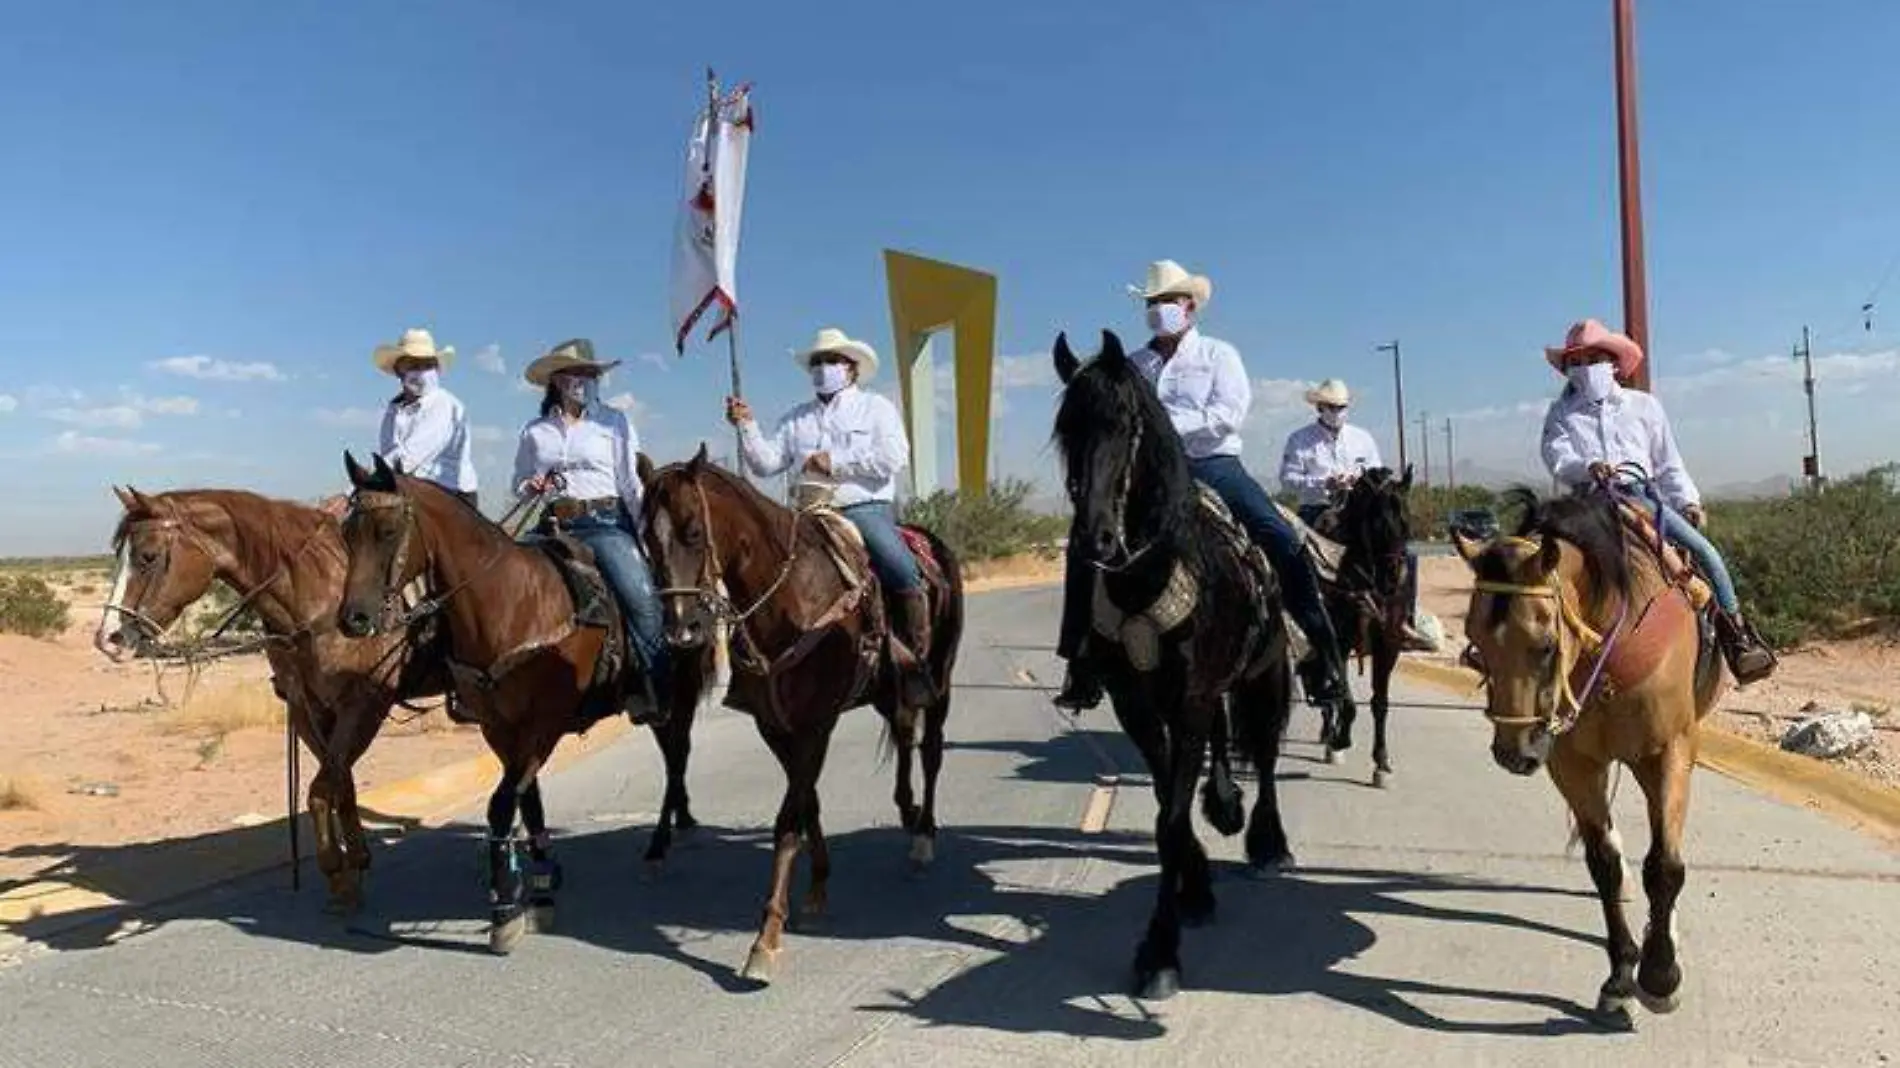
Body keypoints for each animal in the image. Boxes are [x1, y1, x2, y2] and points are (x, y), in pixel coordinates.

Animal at [96, 482, 452, 904]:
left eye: (148, 556)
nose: (108, 639)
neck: (318, 605)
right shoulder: (307, 708)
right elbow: (339, 781)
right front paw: (351, 867)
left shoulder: (364, 704)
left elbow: (323, 787)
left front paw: (338, 866)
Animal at [334, 452, 714, 950]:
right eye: (347, 532)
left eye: (388, 529)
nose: (353, 619)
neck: (509, 604)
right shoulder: (499, 726)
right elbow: (526, 797)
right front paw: (542, 877)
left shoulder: (544, 722)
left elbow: (501, 804)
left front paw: (503, 911)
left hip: (675, 696)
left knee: (676, 757)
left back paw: (660, 844)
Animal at [638, 442, 965, 980]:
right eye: (646, 539)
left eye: (693, 531)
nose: (682, 630)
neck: (790, 602)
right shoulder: (775, 725)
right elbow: (806, 800)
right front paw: (817, 885)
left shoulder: (816, 723)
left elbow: (787, 820)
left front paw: (766, 938)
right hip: (887, 691)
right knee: (902, 734)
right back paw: (907, 808)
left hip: (940, 680)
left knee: (932, 750)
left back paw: (923, 835)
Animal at [1048, 328, 1299, 995]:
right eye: (1065, 430)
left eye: (1126, 424)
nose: (1094, 540)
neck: (1149, 575)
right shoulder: (1139, 706)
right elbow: (1170, 808)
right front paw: (1194, 891)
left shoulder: (1190, 700)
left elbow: (1168, 819)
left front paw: (1159, 952)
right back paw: (1226, 807)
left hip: (1266, 678)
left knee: (1265, 755)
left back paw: (1268, 842)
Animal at [1451, 484, 1725, 1026]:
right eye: (1475, 645)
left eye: (1545, 646)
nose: (1514, 753)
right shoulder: (1572, 765)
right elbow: (1605, 864)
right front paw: (1621, 976)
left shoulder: (1670, 749)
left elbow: (1665, 865)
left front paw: (1660, 977)